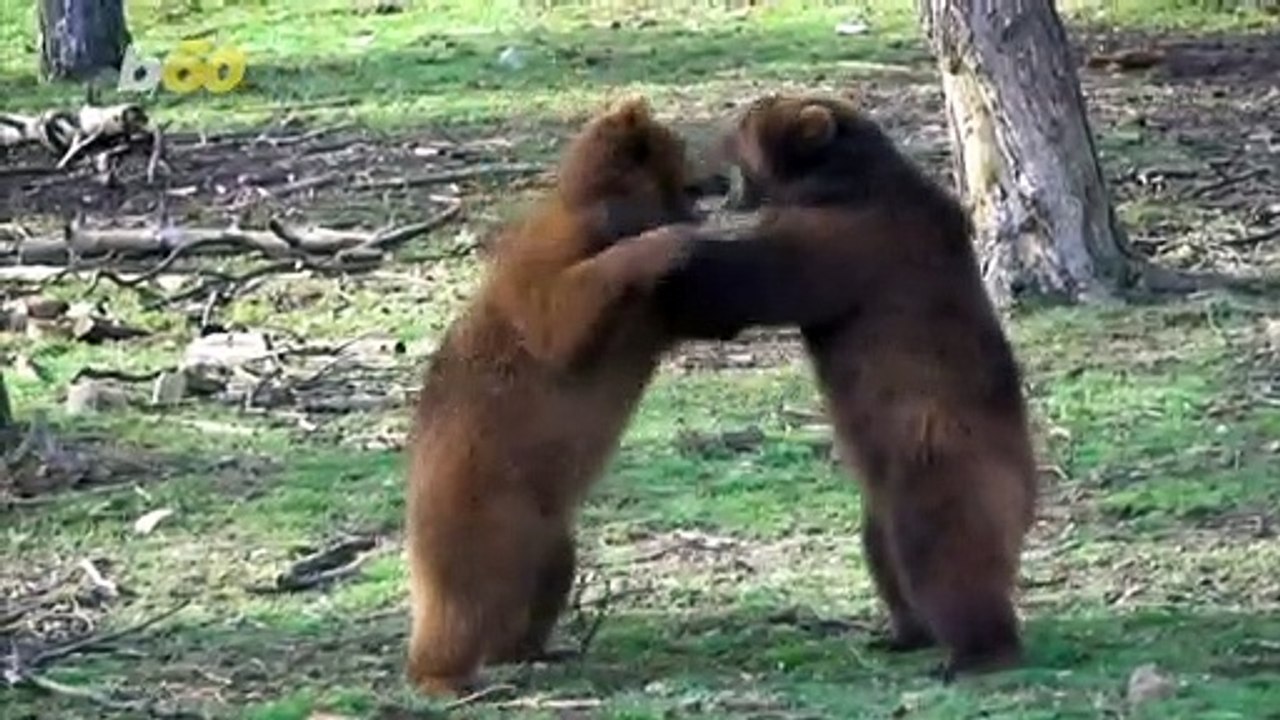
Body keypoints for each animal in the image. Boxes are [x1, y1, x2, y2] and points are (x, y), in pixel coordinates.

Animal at [404, 96, 728, 697]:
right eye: (683, 144)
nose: (721, 178)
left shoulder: (651, 314)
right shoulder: (554, 255)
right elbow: (559, 315)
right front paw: (672, 240)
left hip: (547, 533)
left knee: (542, 582)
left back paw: (532, 650)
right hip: (482, 507)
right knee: (463, 601)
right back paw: (445, 676)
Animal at [644, 94, 1039, 680]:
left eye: (741, 120)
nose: (698, 139)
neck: (833, 178)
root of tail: (1030, 489)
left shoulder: (856, 238)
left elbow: (768, 276)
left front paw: (673, 254)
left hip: (942, 463)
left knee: (947, 556)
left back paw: (976, 653)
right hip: (885, 496)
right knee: (884, 553)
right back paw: (904, 634)